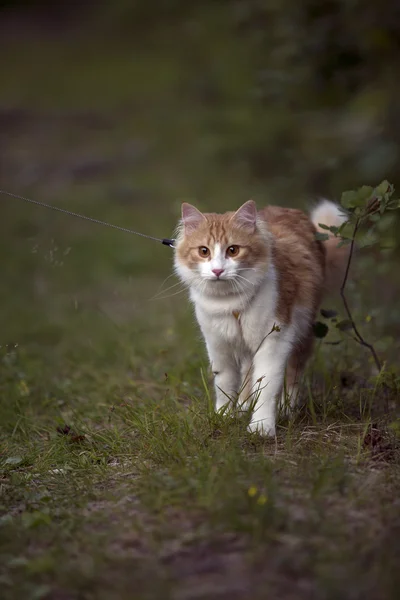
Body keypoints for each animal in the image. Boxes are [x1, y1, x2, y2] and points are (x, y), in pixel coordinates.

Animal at [173, 197, 348, 436]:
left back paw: (286, 409)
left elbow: (266, 387)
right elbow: (224, 386)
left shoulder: (274, 341)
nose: (217, 271)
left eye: (233, 250)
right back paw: (243, 407)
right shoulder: (219, 345)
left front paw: (261, 426)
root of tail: (289, 210)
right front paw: (224, 417)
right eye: (203, 251)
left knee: (294, 372)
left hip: (301, 333)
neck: (229, 302)